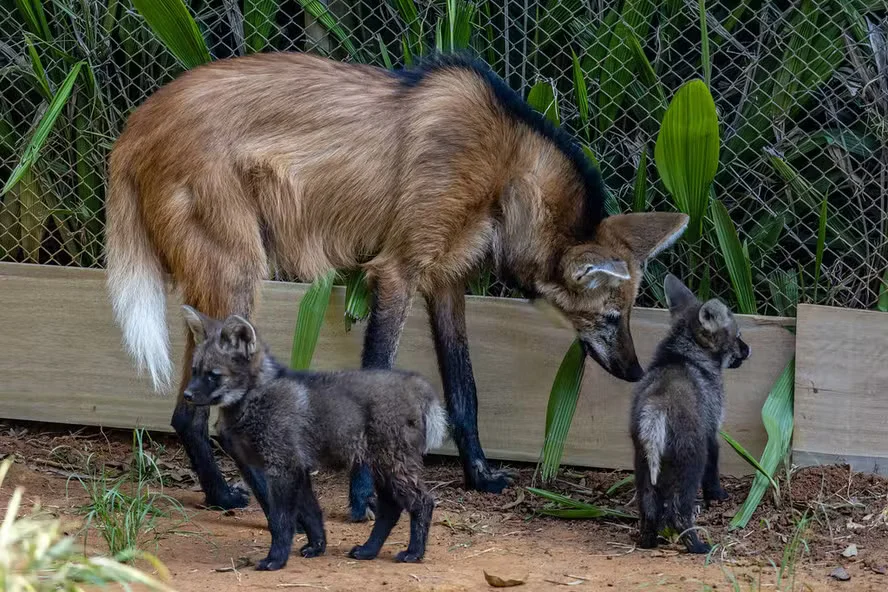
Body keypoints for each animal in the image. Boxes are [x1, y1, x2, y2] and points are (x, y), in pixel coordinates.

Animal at [105, 50, 689, 519]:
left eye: (627, 316)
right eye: (610, 317)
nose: (635, 371)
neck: (505, 175)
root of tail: (135, 125)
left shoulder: (446, 281)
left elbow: (464, 388)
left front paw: (480, 476)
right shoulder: (396, 271)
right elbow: (379, 376)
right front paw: (364, 499)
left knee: (185, 411)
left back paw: (222, 494)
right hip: (237, 275)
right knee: (206, 412)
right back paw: (247, 499)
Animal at [180, 305, 446, 571]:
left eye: (213, 375)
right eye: (195, 371)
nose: (186, 395)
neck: (254, 398)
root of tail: (417, 383)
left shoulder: (283, 468)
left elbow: (281, 521)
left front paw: (276, 559)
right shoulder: (298, 469)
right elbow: (311, 514)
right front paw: (317, 547)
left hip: (392, 465)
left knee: (423, 502)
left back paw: (414, 552)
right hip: (380, 467)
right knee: (390, 509)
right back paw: (369, 550)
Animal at [630, 274, 750, 554]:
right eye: (738, 335)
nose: (749, 350)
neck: (683, 357)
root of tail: (656, 407)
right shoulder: (712, 432)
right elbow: (713, 471)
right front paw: (718, 496)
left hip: (644, 465)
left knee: (649, 510)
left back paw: (649, 543)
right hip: (691, 462)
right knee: (679, 512)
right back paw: (698, 545)